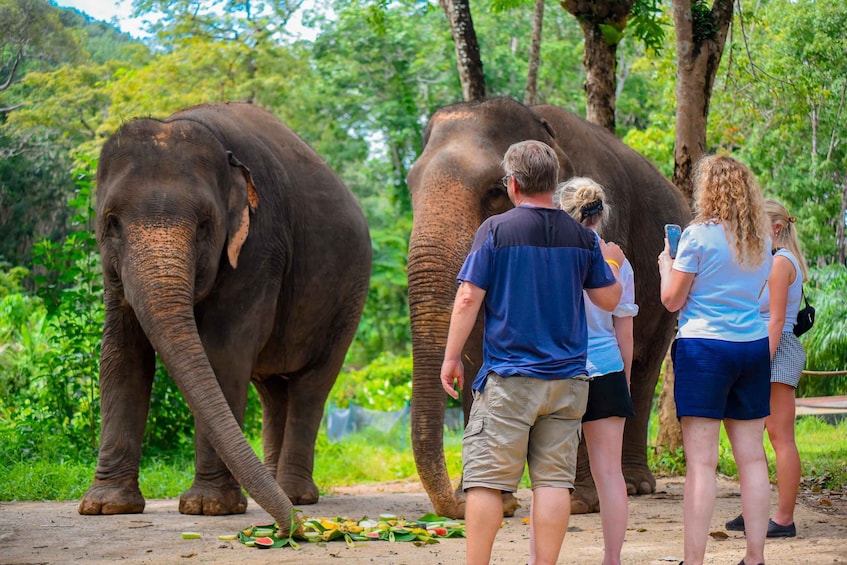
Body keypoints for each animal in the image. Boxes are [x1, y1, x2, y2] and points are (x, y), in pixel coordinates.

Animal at [78, 102, 372, 533]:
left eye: (205, 225)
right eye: (111, 223)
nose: (295, 529)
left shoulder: (259, 245)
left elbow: (223, 352)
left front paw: (208, 507)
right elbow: (122, 355)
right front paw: (104, 507)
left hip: (349, 297)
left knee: (312, 385)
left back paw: (295, 496)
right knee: (273, 391)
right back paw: (275, 490)